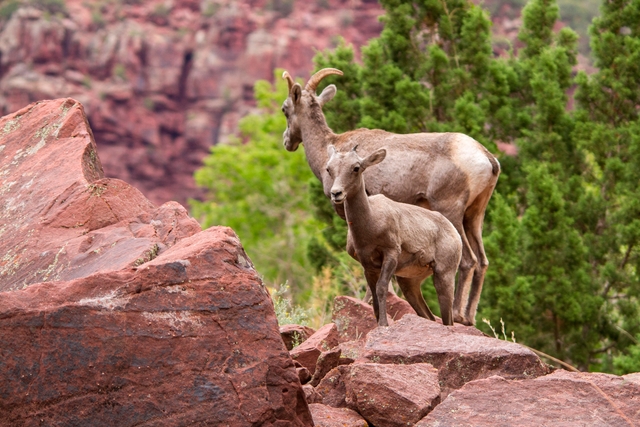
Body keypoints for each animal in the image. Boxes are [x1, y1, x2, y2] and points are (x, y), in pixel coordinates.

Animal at [328, 145, 462, 326]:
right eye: (329, 169)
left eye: (356, 168)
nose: (336, 193)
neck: (371, 222)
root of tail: (456, 235)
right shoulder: (367, 264)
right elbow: (373, 295)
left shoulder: (391, 253)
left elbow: (381, 288)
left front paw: (384, 324)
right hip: (409, 282)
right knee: (429, 317)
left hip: (444, 276)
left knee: (448, 320)